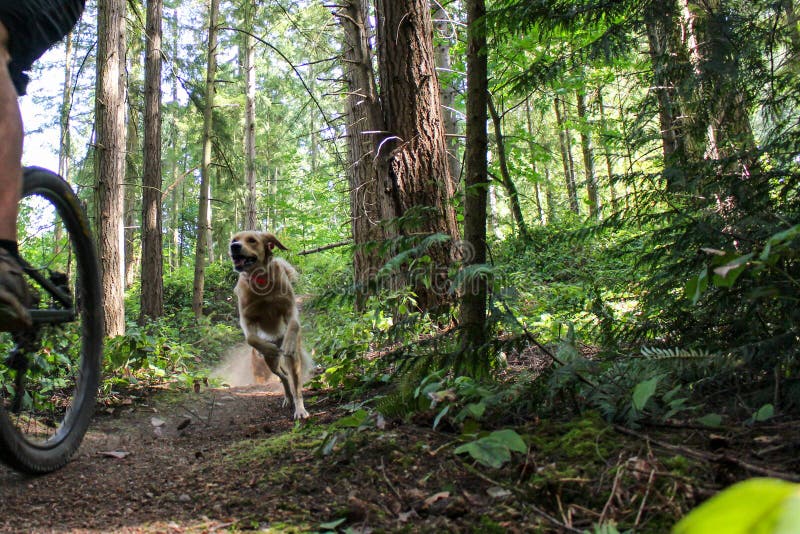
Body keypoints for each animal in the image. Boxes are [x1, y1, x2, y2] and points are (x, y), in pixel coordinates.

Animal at [230, 232, 314, 420]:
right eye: (234, 240)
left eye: (252, 240)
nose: (234, 247)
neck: (261, 281)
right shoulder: (246, 319)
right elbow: (251, 338)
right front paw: (267, 347)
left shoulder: (290, 308)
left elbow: (293, 324)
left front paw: (288, 342)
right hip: (271, 364)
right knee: (283, 376)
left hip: (293, 360)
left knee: (295, 382)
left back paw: (299, 408)